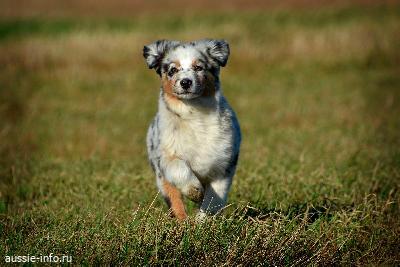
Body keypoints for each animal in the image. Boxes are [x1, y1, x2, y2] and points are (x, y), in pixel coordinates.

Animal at [143, 39, 241, 220]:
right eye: (173, 70)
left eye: (198, 67)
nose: (186, 82)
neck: (194, 112)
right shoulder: (165, 156)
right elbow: (179, 170)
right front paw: (195, 192)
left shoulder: (224, 165)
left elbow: (213, 199)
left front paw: (203, 222)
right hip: (161, 178)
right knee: (175, 201)